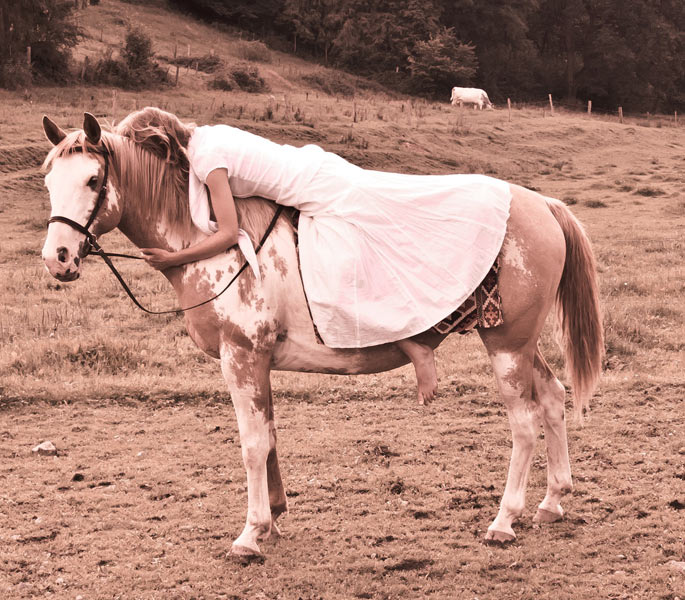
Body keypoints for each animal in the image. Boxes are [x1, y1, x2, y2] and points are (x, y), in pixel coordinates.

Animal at [41, 112, 603, 559]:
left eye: (93, 179)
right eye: (48, 180)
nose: (58, 258)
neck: (213, 241)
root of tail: (541, 205)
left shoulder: (240, 357)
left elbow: (251, 444)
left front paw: (250, 534)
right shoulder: (257, 362)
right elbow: (268, 437)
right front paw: (271, 519)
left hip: (505, 345)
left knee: (524, 423)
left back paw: (504, 519)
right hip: (521, 344)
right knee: (553, 398)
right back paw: (551, 501)